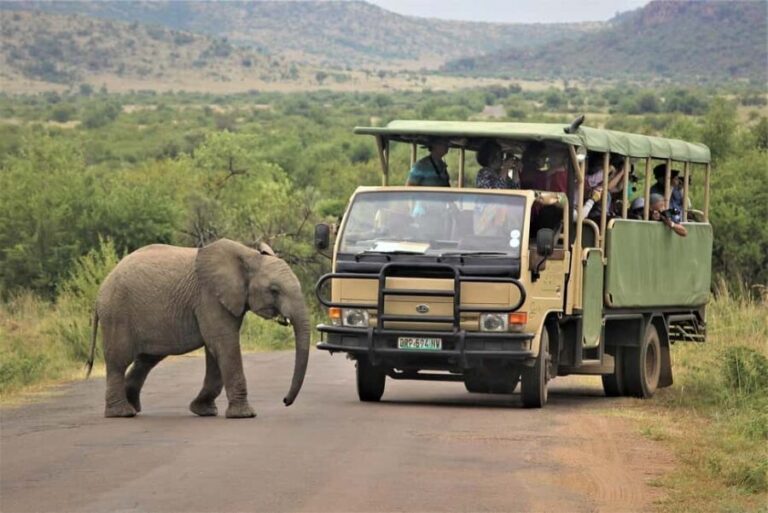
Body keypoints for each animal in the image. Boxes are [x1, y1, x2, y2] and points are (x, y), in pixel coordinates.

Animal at [85, 238, 310, 418]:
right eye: (274, 290)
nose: (285, 401)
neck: (249, 256)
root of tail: (100, 290)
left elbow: (216, 350)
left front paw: (203, 411)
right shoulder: (209, 297)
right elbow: (224, 344)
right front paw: (244, 415)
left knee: (146, 359)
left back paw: (133, 407)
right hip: (116, 314)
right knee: (118, 361)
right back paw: (122, 413)